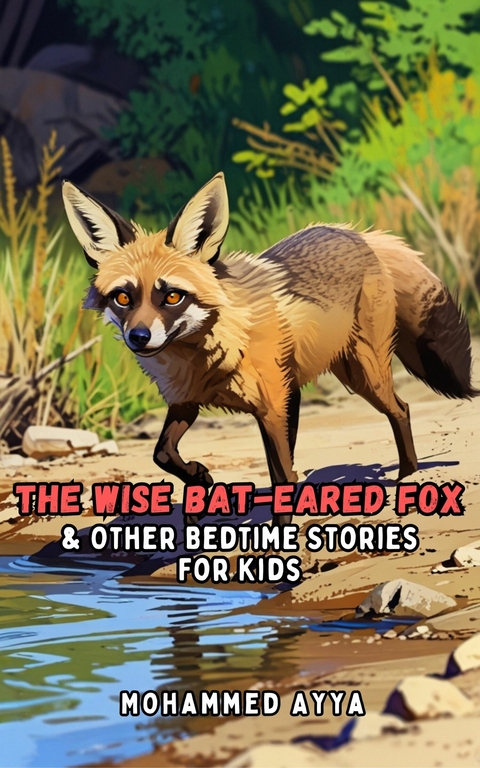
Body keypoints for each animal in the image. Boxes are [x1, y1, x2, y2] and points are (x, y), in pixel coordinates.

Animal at [63, 173, 477, 524]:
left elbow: (280, 475)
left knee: (401, 409)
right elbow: (162, 453)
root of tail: (359, 234)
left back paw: (408, 475)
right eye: (123, 298)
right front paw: (199, 480)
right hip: (319, 383)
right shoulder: (187, 402)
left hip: (362, 374)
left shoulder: (271, 408)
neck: (207, 359)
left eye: (172, 296)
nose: (139, 337)